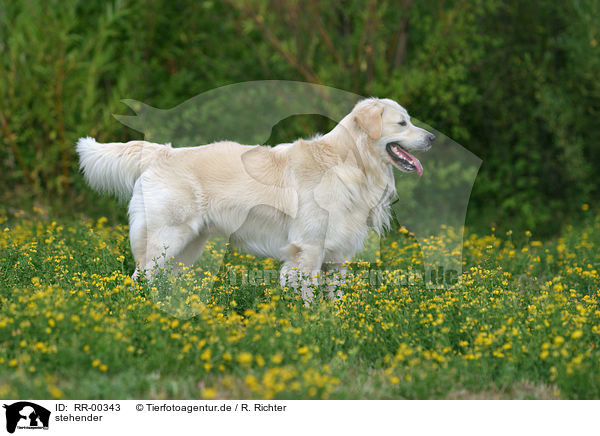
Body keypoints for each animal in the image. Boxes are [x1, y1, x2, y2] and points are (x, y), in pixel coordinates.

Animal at [77, 98, 436, 304]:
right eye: (402, 123)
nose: (432, 137)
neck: (350, 163)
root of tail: (162, 152)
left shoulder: (337, 255)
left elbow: (334, 299)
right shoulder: (308, 248)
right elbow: (308, 296)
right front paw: (311, 325)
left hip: (186, 248)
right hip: (167, 239)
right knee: (140, 279)